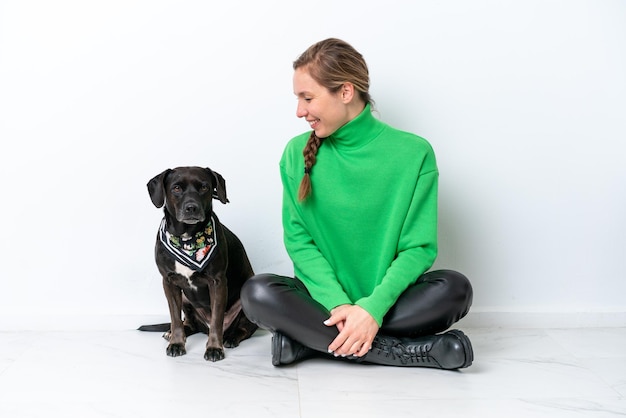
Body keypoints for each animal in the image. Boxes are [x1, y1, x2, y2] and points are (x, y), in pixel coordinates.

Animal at [140, 167, 258, 362]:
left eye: (204, 187)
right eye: (176, 188)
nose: (191, 208)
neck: (187, 238)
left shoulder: (217, 283)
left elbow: (217, 320)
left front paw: (214, 348)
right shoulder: (169, 282)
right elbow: (175, 318)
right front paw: (176, 343)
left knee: (244, 329)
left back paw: (231, 338)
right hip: (185, 299)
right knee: (188, 323)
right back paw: (172, 333)